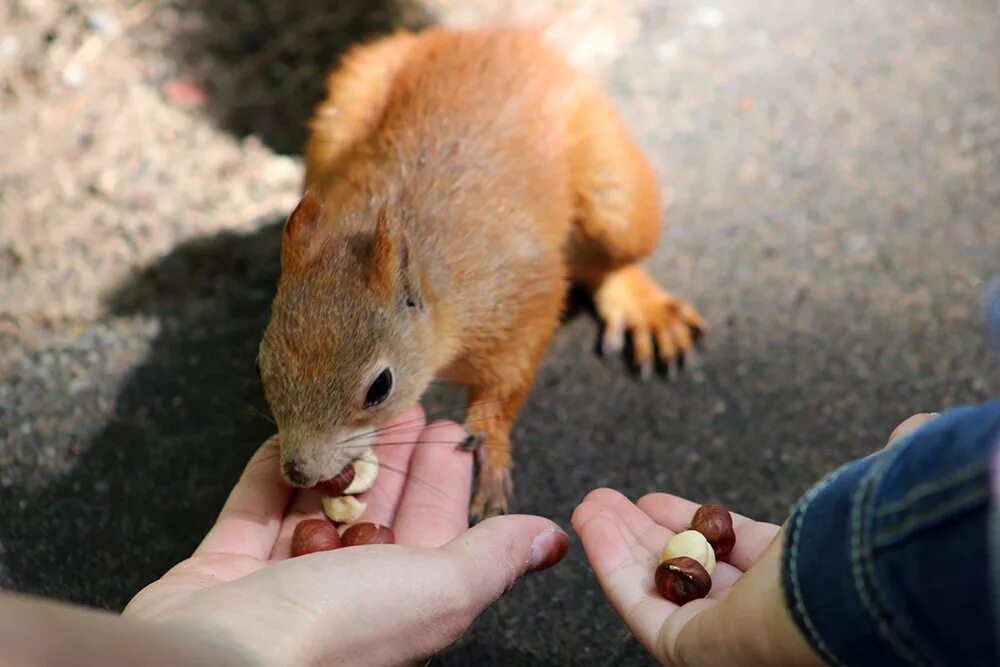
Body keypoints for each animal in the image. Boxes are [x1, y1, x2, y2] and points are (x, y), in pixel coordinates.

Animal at [256, 28, 704, 520]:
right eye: (261, 364)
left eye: (380, 388)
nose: (299, 472)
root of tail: (499, 36)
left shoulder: (521, 294)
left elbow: (509, 379)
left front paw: (489, 443)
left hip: (613, 192)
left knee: (611, 257)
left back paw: (642, 305)